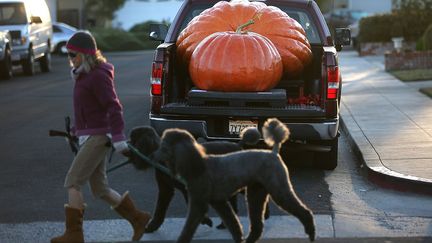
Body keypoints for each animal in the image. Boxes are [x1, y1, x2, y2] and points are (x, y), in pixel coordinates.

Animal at [128, 126, 262, 233]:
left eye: (133, 139)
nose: (126, 147)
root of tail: (238, 145)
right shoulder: (165, 189)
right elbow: (159, 209)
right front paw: (152, 227)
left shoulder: (189, 188)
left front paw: (205, 220)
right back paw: (225, 225)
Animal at [154, 118, 316, 243]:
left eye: (164, 147)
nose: (154, 155)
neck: (197, 164)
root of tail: (274, 152)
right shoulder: (219, 202)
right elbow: (232, 223)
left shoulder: (199, 203)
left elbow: (189, 227)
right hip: (256, 192)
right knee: (257, 225)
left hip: (278, 187)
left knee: (303, 211)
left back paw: (311, 232)